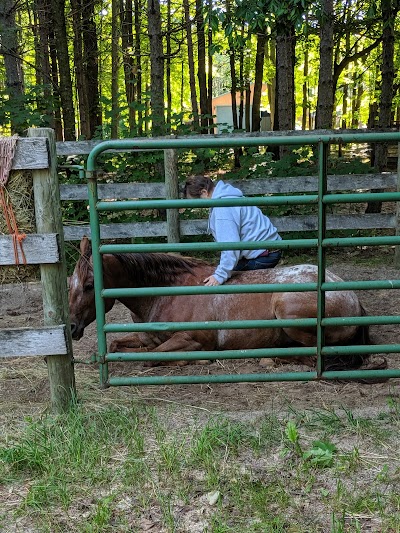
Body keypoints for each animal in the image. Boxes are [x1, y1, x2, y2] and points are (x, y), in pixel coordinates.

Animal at [69, 237, 378, 370]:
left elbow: (153, 357)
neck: (165, 292)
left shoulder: (193, 340)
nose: (71, 327)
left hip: (287, 312)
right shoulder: (147, 338)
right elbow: (117, 346)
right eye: (71, 282)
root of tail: (353, 298)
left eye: (89, 285)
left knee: (314, 355)